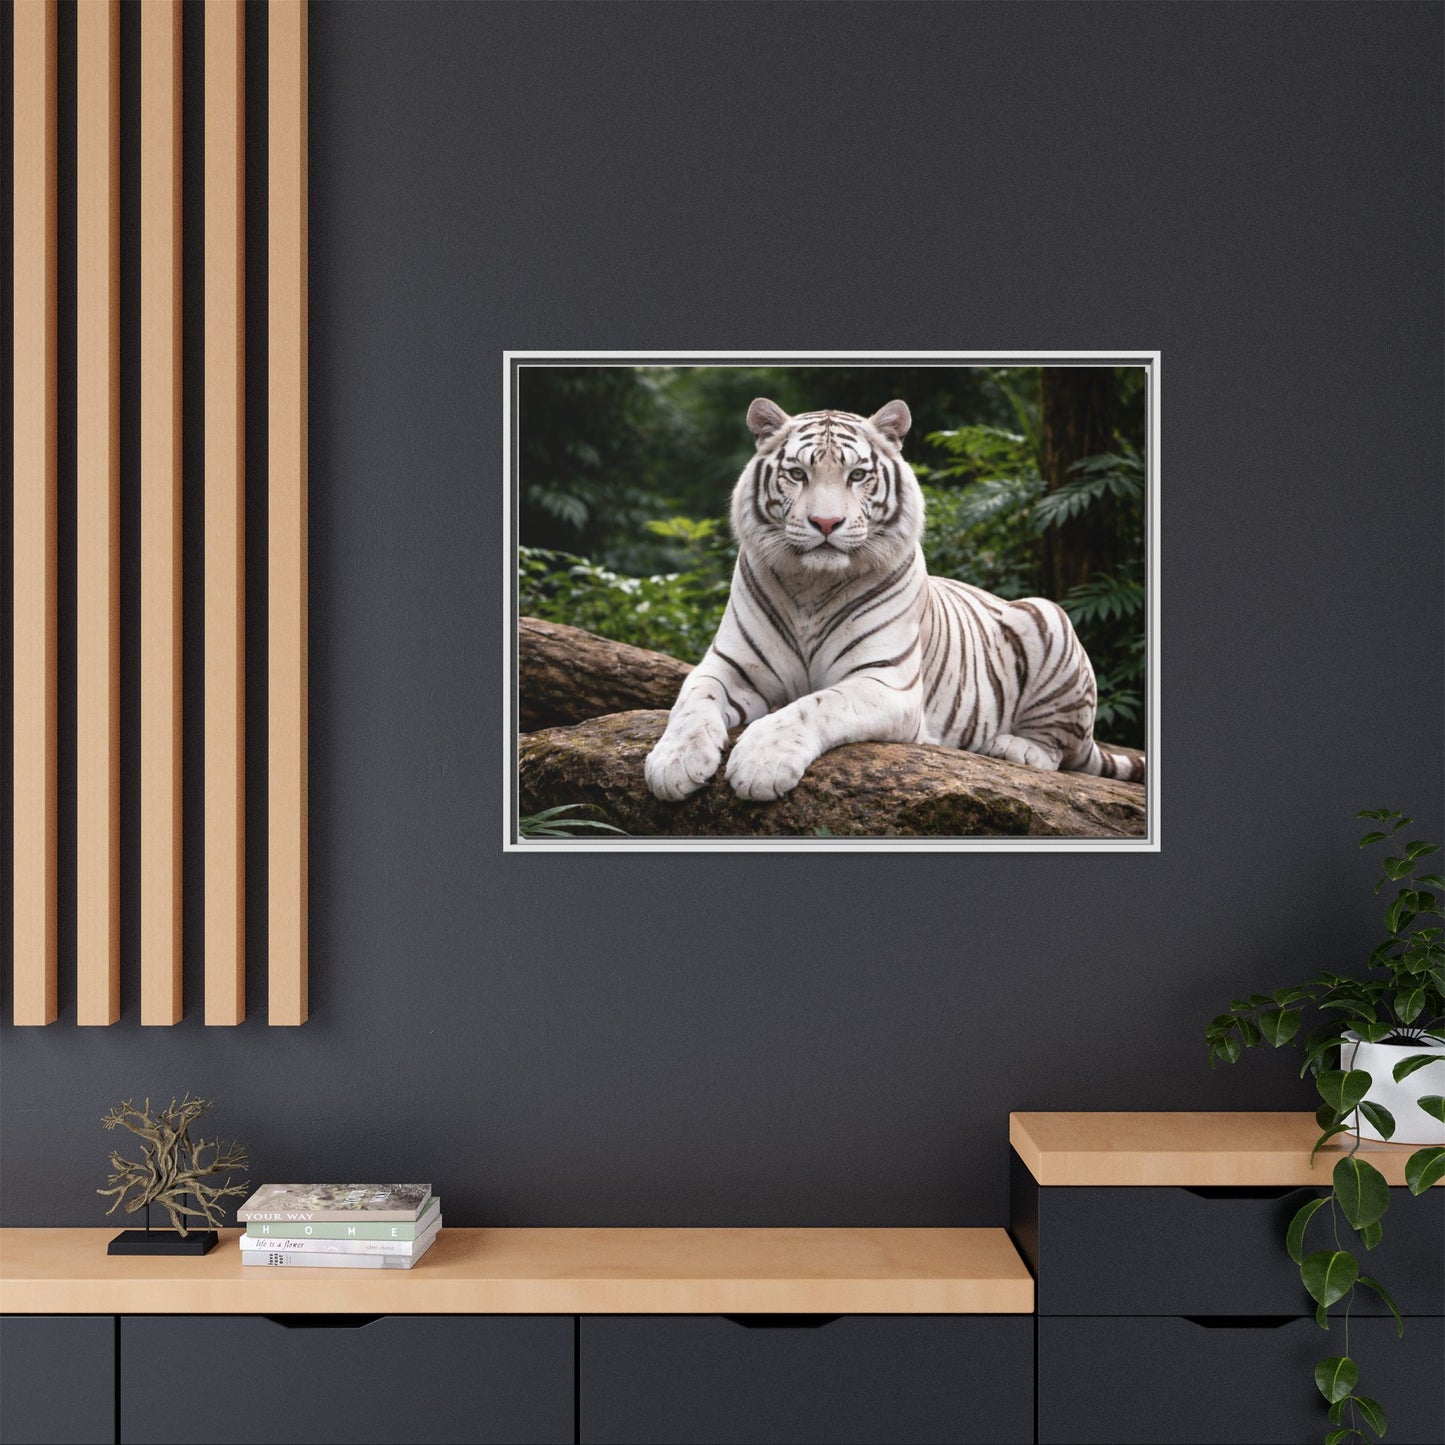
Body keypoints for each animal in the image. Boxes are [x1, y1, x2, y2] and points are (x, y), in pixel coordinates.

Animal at [643, 397, 1145, 803]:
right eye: (798, 474)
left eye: (858, 475)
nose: (826, 523)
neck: (812, 587)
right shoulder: (728, 665)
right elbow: (692, 701)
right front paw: (673, 763)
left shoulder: (884, 681)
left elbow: (813, 705)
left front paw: (760, 763)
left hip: (1048, 616)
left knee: (1060, 752)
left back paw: (1011, 747)